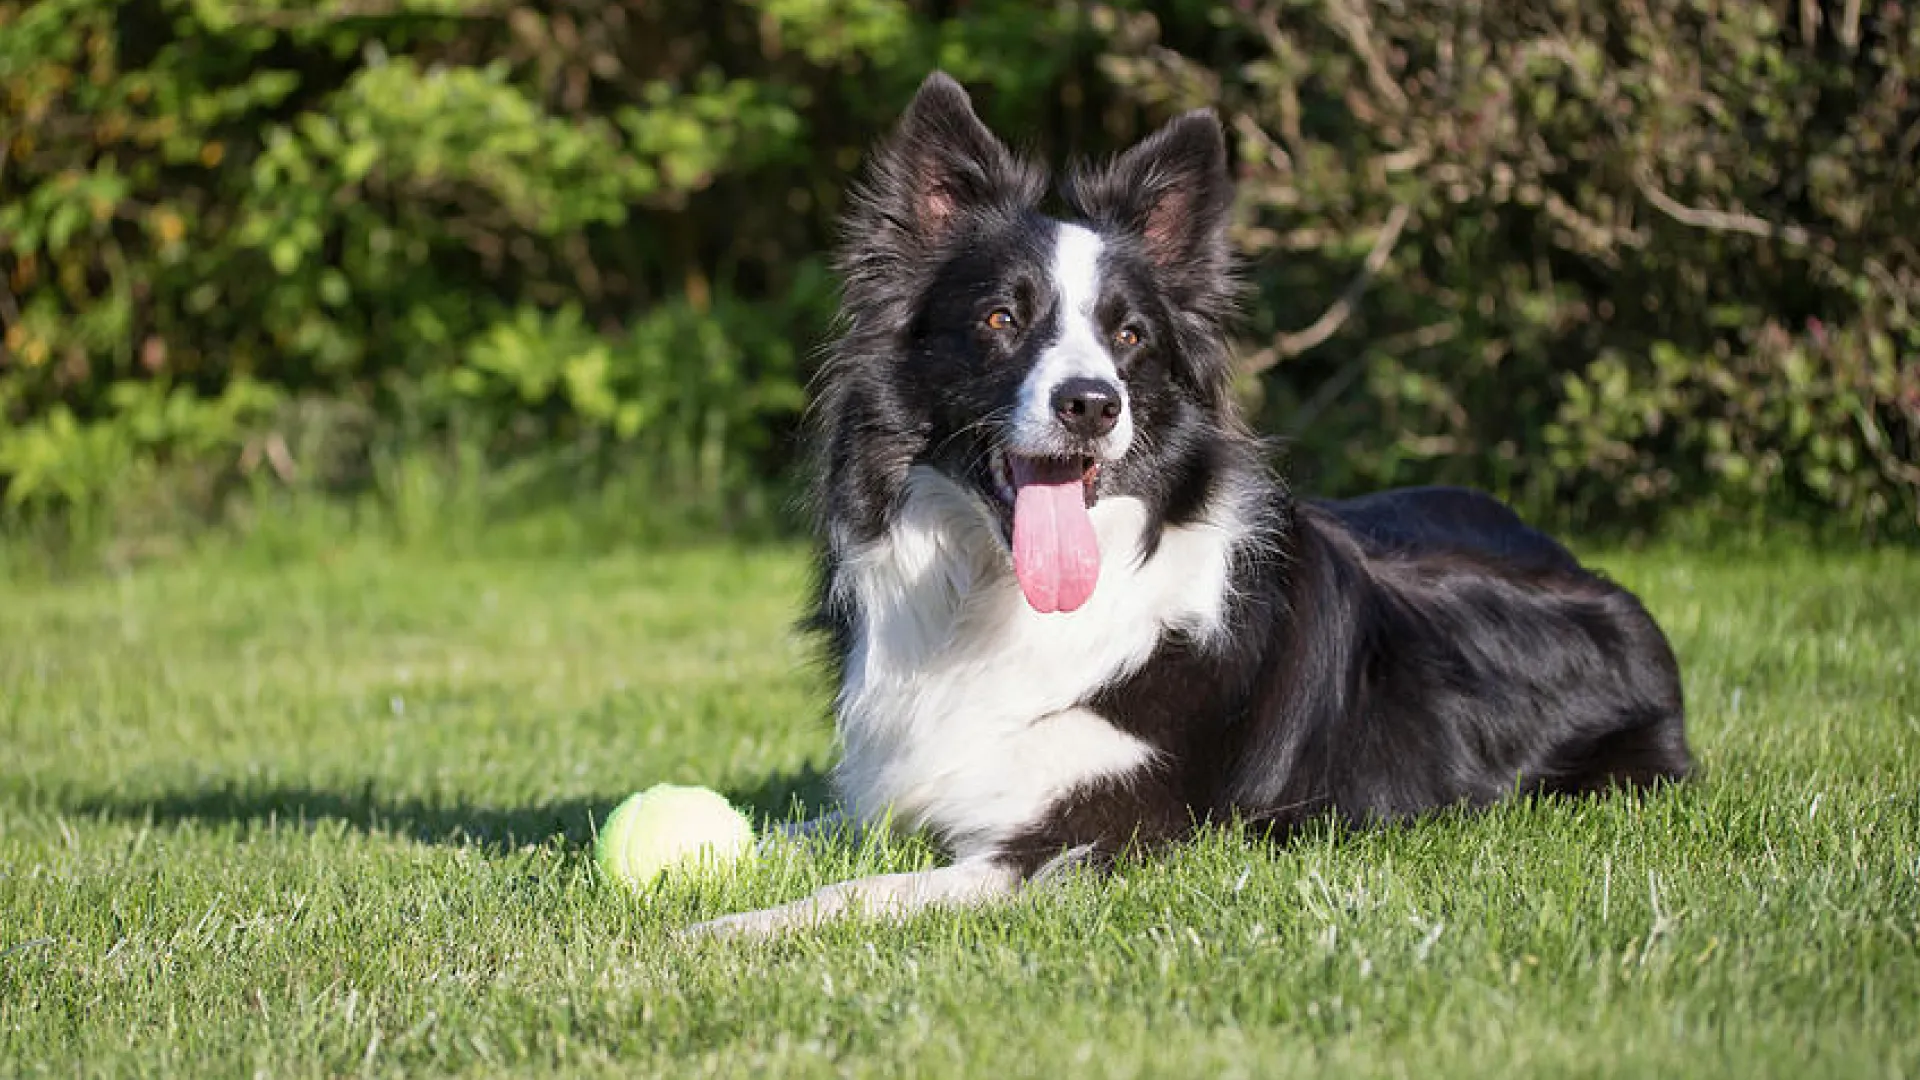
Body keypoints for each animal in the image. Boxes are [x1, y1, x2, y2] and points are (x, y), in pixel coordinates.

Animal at [698, 75, 1689, 933]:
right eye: (1000, 320)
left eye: (1131, 335)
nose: (1092, 404)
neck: (1000, 599)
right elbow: (778, 829)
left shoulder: (1095, 839)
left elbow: (857, 894)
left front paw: (719, 934)